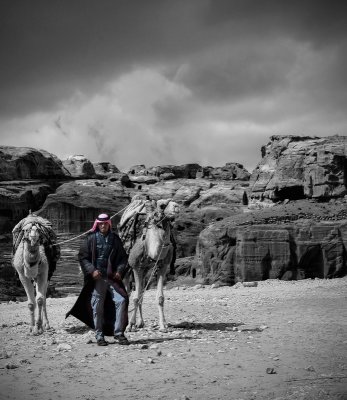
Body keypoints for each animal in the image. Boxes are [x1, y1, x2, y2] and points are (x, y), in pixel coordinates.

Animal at [119, 196, 181, 332]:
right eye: (162, 205)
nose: (177, 206)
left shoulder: (162, 266)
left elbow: (160, 298)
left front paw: (163, 325)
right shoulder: (136, 267)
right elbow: (136, 297)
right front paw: (129, 325)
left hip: (146, 270)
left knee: (141, 292)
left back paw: (140, 323)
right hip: (128, 268)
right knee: (128, 293)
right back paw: (127, 323)